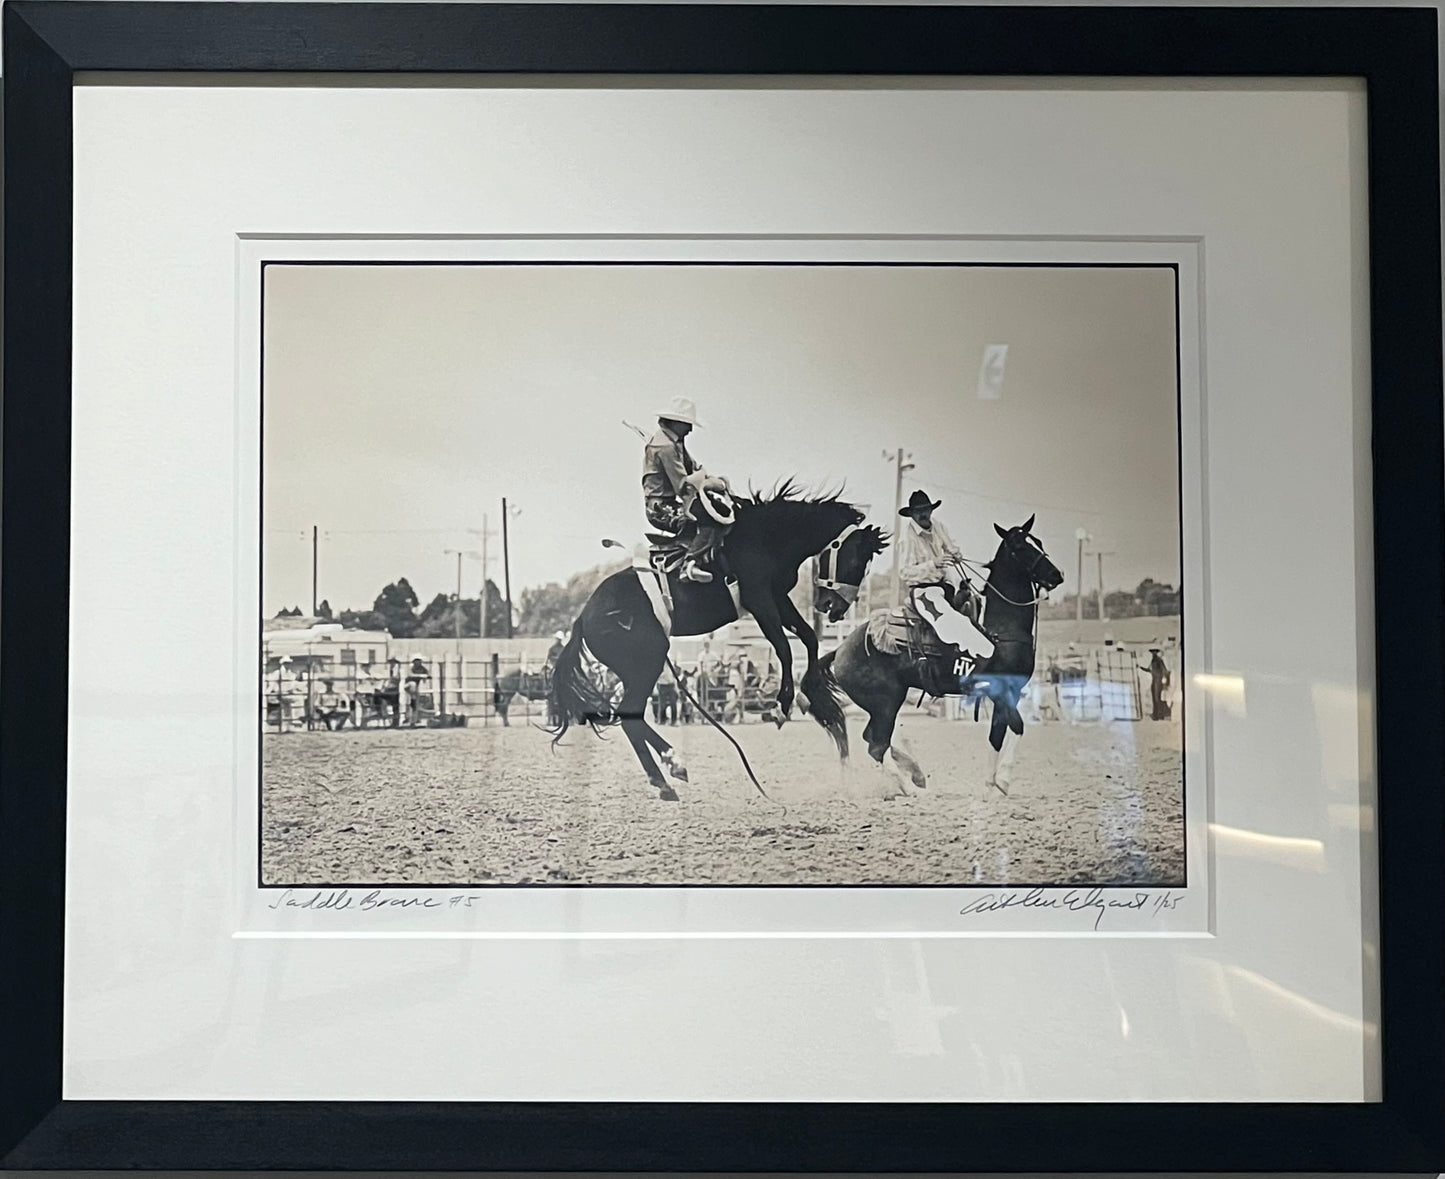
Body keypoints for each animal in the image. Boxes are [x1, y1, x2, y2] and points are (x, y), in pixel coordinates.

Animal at [546, 482, 884, 797]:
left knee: (632, 715)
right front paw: (782, 705)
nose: (834, 608)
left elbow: (809, 639)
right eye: (855, 561)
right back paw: (667, 773)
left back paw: (670, 770)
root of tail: (583, 618)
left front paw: (814, 700)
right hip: (648, 661)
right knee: (630, 715)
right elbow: (784, 647)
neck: (767, 536)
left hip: (635, 669)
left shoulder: (778, 597)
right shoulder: (760, 599)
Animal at [814, 517, 1063, 803]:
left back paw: (914, 775)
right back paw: (911, 788)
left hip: (882, 705)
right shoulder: (1000, 691)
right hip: (886, 702)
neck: (999, 632)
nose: (1057, 575)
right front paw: (1003, 781)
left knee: (874, 739)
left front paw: (989, 787)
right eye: (1021, 546)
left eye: (1038, 542)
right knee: (877, 745)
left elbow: (997, 736)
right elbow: (1018, 726)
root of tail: (840, 650)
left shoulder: (1007, 693)